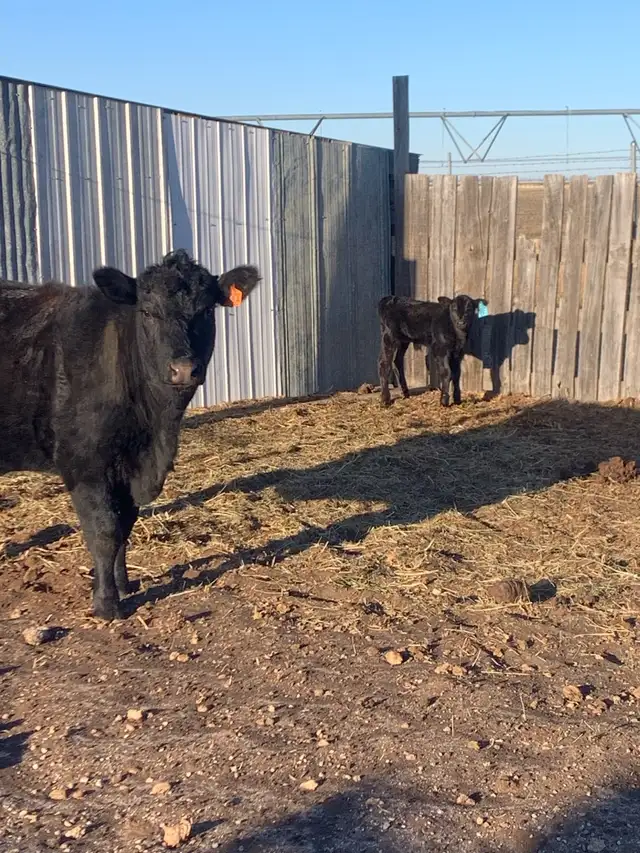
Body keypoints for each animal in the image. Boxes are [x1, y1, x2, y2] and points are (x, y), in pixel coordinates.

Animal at [0, 249, 260, 620]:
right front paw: (107, 602)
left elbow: (126, 525)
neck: (153, 430)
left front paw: (124, 585)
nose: (184, 370)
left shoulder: (129, 466)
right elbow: (105, 530)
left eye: (207, 310)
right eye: (147, 312)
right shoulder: (86, 465)